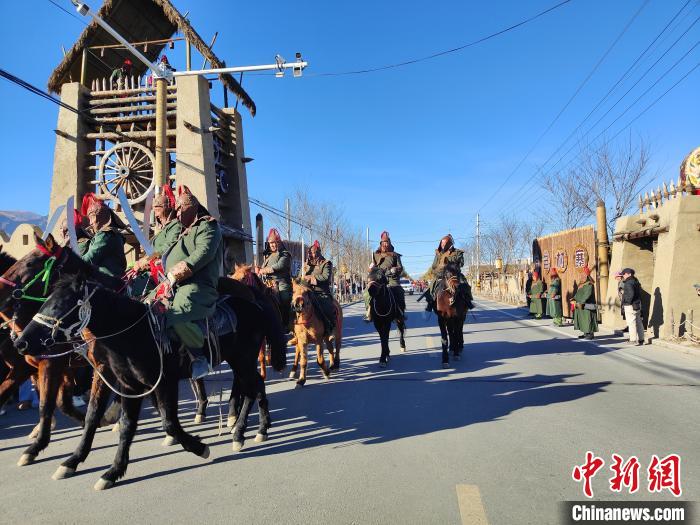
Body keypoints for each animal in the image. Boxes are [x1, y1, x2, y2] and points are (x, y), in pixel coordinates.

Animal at [15, 271, 285, 490]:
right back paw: (248, 430)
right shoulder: (127, 385)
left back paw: (250, 431)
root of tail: (255, 304)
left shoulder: (163, 383)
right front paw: (108, 470)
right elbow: (118, 423)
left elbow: (169, 422)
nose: (21, 343)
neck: (133, 333)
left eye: (59, 305)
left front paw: (199, 448)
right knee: (254, 387)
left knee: (254, 387)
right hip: (240, 362)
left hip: (244, 360)